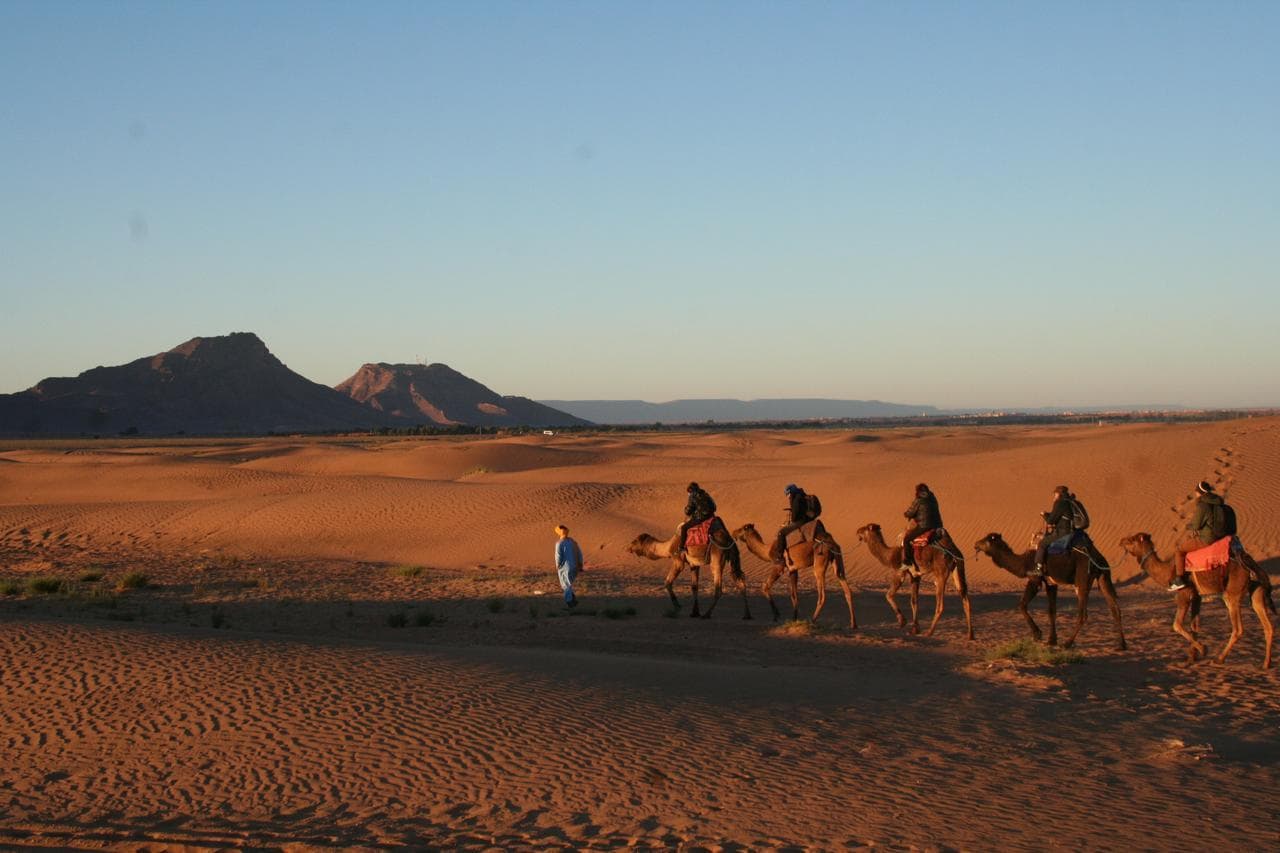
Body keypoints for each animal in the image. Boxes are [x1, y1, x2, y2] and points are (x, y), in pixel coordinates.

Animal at [972, 527, 1126, 648]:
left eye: (986, 540)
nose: (975, 544)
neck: (1023, 562)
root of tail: (1098, 558)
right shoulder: (1051, 584)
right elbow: (1052, 611)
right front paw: (1051, 640)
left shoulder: (1035, 579)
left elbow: (1022, 604)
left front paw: (1037, 634)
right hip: (1103, 577)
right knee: (1115, 609)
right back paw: (1122, 644)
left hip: (1082, 578)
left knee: (1083, 614)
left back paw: (1068, 643)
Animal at [1121, 532, 1269, 666]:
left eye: (1132, 539)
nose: (1122, 540)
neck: (1167, 571)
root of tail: (1249, 563)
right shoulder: (1197, 595)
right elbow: (1194, 625)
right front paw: (1191, 658)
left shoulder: (1184, 593)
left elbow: (1177, 625)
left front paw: (1203, 649)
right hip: (1256, 590)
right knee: (1267, 625)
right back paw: (1266, 664)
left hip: (1232, 593)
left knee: (1238, 629)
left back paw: (1219, 659)